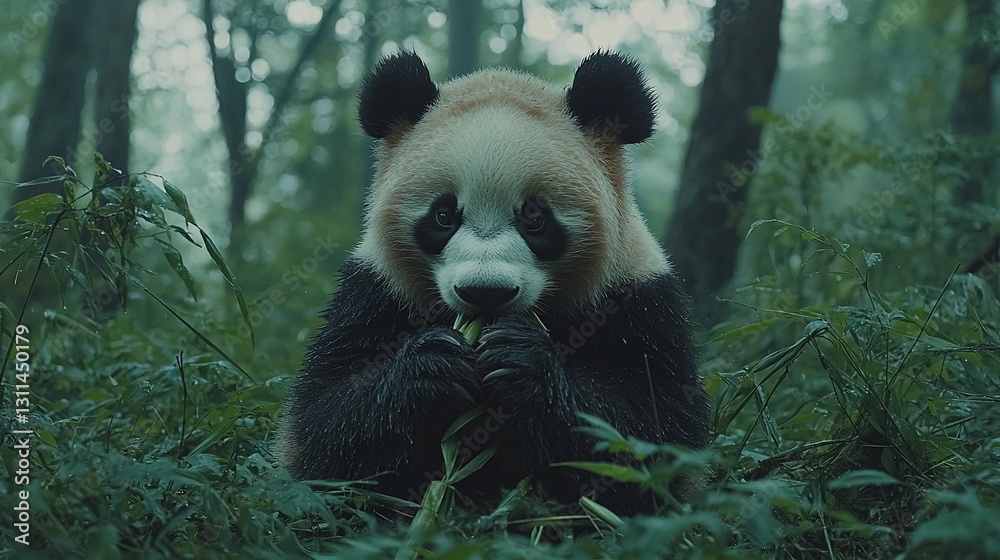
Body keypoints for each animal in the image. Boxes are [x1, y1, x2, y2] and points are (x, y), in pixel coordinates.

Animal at [279, 50, 708, 517]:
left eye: (534, 218)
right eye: (443, 216)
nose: (485, 292)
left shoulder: (636, 296)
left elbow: (658, 431)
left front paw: (523, 362)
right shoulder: (374, 293)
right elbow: (319, 429)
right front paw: (432, 367)